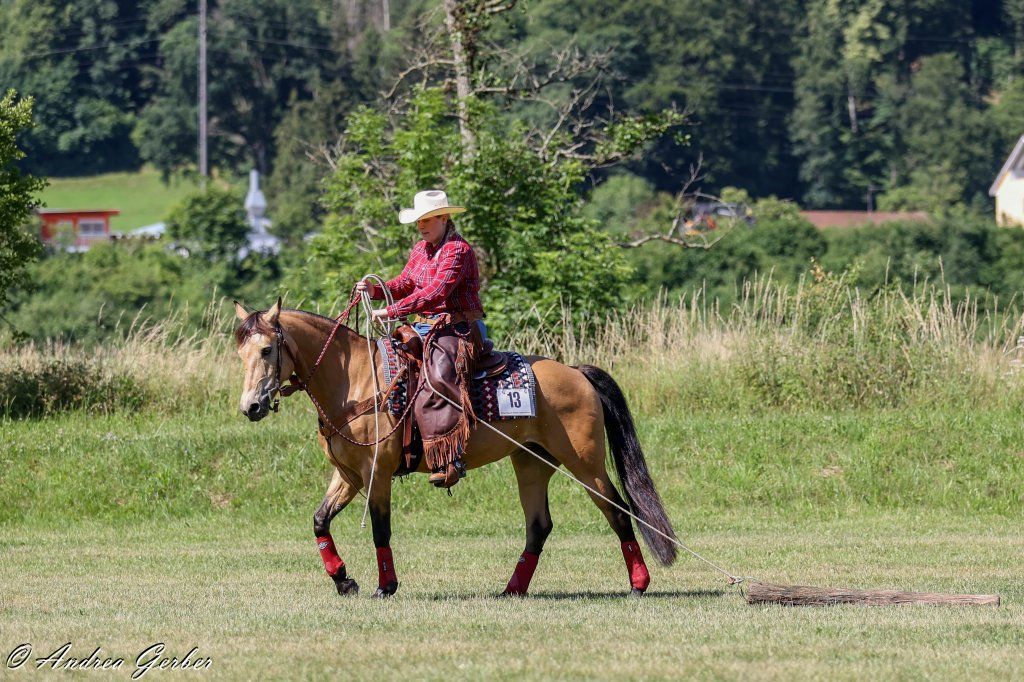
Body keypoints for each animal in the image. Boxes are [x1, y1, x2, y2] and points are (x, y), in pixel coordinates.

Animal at [233, 298, 679, 598]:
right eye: (241, 353)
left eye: (267, 349)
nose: (250, 406)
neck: (355, 381)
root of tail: (577, 372)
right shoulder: (348, 475)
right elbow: (319, 521)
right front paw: (344, 581)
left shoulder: (377, 474)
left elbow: (380, 529)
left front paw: (386, 586)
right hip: (532, 463)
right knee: (539, 526)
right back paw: (511, 589)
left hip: (586, 464)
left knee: (618, 513)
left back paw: (639, 584)